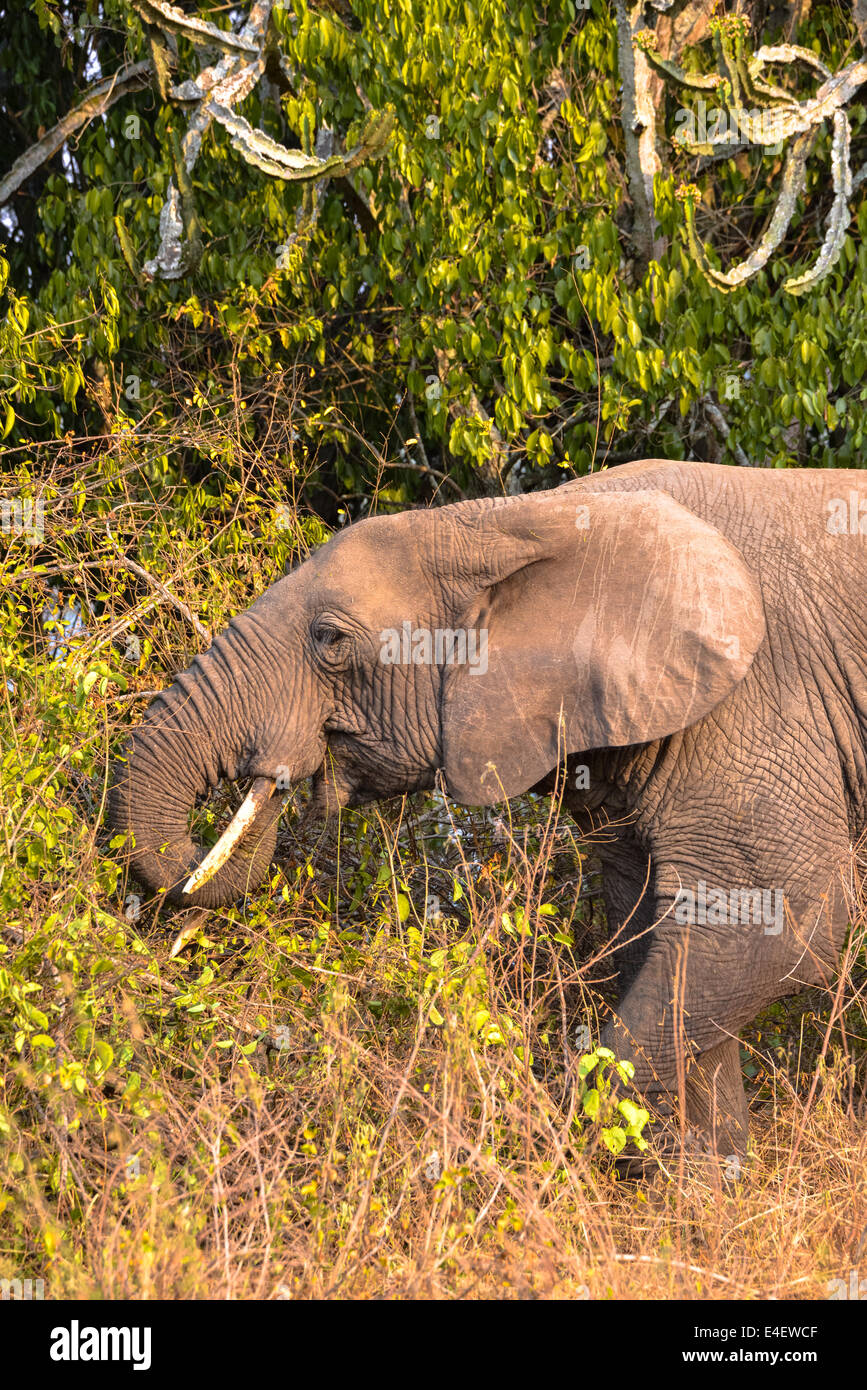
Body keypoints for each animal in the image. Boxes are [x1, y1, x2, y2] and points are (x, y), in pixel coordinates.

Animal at [108, 461, 867, 1156]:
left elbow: (775, 923)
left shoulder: (757, 702)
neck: (511, 522)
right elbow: (657, 937)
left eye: (330, 640)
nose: (276, 769)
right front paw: (699, 1194)